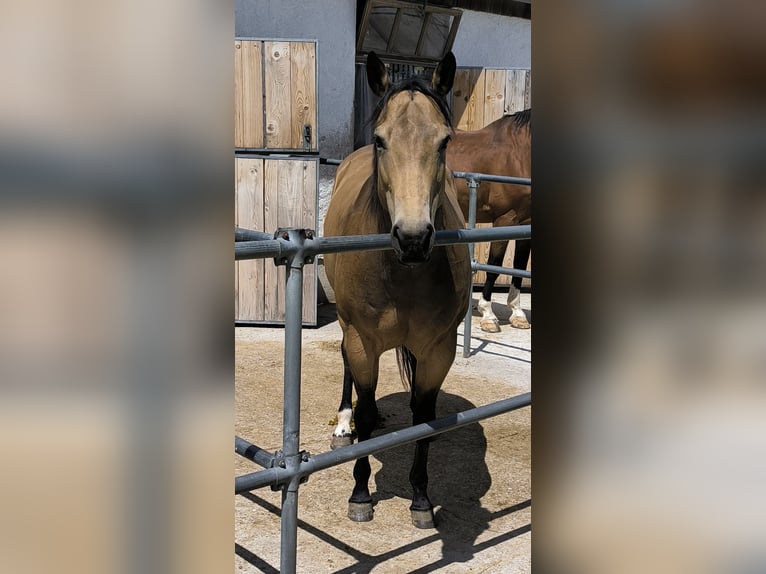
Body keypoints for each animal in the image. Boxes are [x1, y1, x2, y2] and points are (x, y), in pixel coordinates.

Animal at [323, 51, 471, 529]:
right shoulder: (362, 341)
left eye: (443, 142)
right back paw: (342, 423)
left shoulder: (438, 349)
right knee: (348, 378)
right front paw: (360, 495)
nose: (412, 238)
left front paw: (421, 499)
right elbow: (368, 415)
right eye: (381, 139)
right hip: (348, 330)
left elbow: (424, 416)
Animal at [447, 110, 531, 332]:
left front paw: (518, 315)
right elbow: (494, 266)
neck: (520, 154)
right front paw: (488, 316)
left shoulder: (526, 224)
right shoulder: (504, 220)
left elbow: (519, 268)